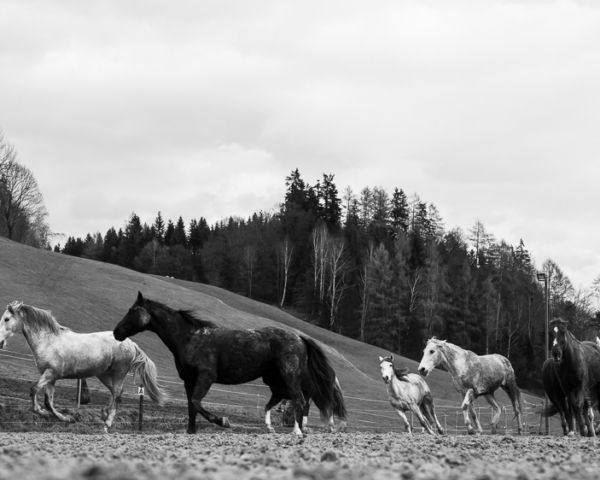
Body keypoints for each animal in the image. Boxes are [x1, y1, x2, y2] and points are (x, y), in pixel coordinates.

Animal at [0, 300, 166, 432]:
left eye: (7, 319)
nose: (0, 342)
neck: (48, 341)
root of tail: (131, 343)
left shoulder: (51, 373)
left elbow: (34, 390)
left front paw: (45, 414)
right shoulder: (50, 378)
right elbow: (49, 402)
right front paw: (66, 418)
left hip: (119, 372)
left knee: (118, 393)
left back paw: (107, 423)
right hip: (104, 374)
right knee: (114, 392)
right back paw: (104, 413)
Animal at [112, 290, 342, 436]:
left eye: (132, 310)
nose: (116, 332)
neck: (190, 338)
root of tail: (300, 338)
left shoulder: (206, 377)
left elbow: (197, 402)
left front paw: (223, 421)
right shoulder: (189, 380)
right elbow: (191, 406)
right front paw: (191, 431)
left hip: (290, 377)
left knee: (300, 401)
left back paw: (297, 431)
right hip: (277, 382)